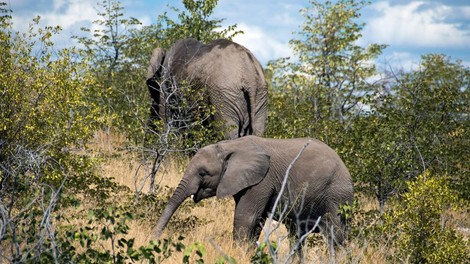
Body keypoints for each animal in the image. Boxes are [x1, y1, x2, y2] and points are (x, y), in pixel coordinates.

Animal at [154, 136, 352, 252]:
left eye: (203, 173)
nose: (154, 239)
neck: (230, 146)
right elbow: (256, 221)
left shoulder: (262, 181)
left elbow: (245, 217)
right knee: (297, 234)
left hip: (336, 195)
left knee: (335, 235)